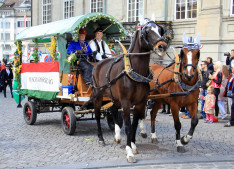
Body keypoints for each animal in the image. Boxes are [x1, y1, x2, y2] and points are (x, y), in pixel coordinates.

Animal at [91, 19, 168, 162]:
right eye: (147, 31)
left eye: (160, 30)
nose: (162, 46)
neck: (134, 71)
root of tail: (97, 64)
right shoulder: (126, 103)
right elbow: (127, 127)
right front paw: (129, 152)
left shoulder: (140, 103)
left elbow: (134, 125)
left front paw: (133, 145)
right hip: (98, 95)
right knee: (97, 114)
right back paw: (101, 138)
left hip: (114, 97)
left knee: (113, 110)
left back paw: (117, 136)